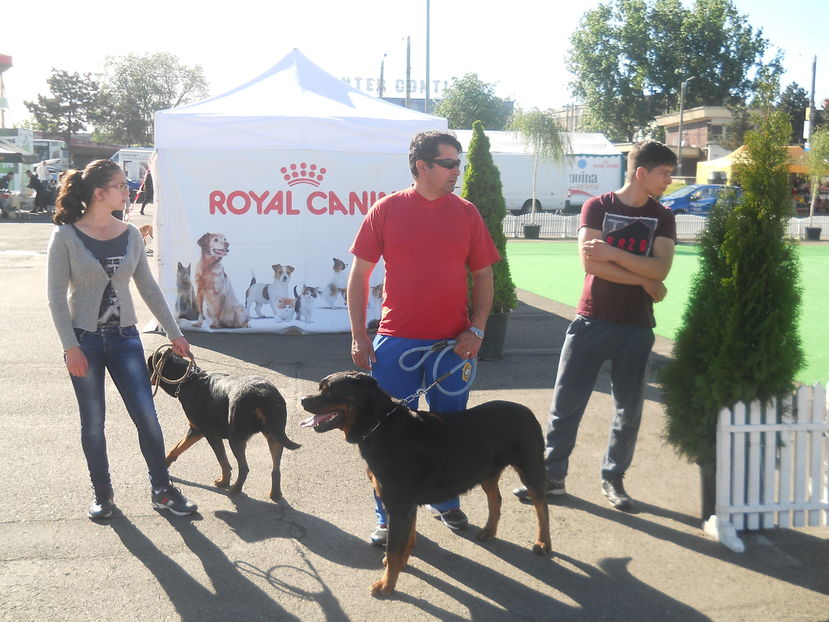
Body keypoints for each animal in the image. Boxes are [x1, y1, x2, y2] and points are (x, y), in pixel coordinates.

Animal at [149, 354, 300, 504]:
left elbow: (222, 460)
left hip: (236, 438)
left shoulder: (209, 433)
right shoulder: (195, 430)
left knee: (244, 468)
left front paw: (224, 481)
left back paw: (235, 489)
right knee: (276, 469)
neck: (187, 380)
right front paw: (163, 466)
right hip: (275, 436)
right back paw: (275, 493)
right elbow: (176, 449)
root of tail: (262, 394)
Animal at [300, 372, 548, 596]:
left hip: (530, 467)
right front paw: (400, 565)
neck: (378, 425)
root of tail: (527, 410)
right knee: (496, 500)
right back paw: (489, 531)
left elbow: (394, 547)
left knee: (541, 506)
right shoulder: (406, 504)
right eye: (320, 387)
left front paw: (386, 585)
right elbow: (407, 538)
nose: (302, 399)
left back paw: (543, 544)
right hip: (487, 472)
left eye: (329, 390)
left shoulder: (399, 505)